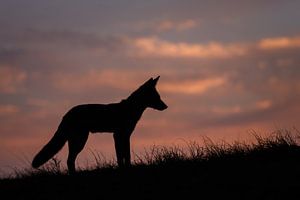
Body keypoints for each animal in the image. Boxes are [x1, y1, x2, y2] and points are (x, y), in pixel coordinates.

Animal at [33, 76, 169, 173]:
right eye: (157, 97)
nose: (166, 106)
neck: (129, 110)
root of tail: (67, 114)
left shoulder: (124, 135)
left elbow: (125, 156)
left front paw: (126, 168)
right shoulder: (119, 135)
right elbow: (122, 156)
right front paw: (124, 169)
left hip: (76, 141)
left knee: (69, 161)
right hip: (80, 141)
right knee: (70, 160)